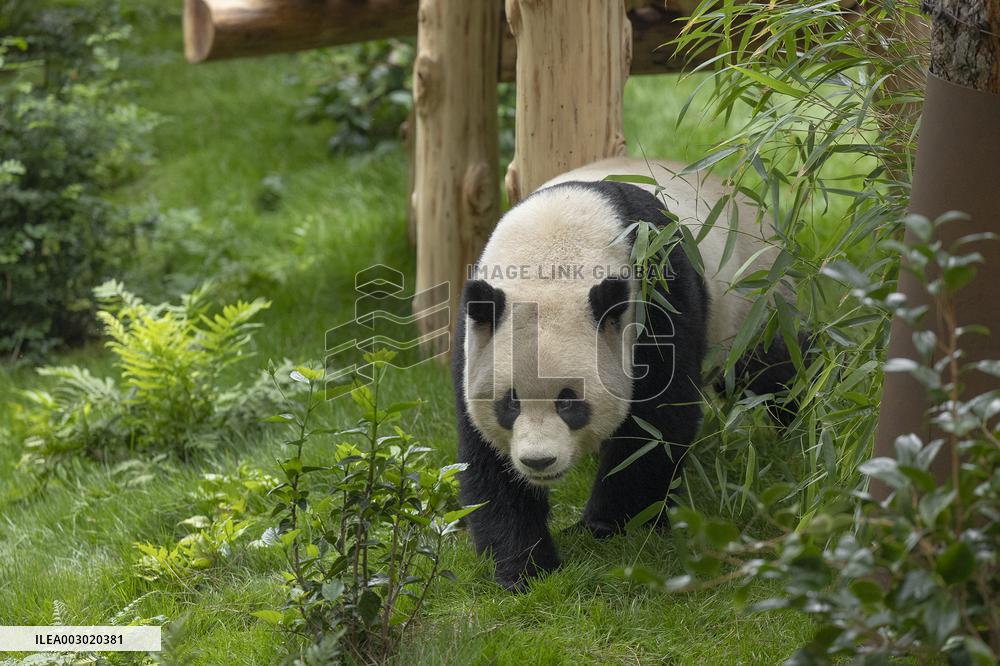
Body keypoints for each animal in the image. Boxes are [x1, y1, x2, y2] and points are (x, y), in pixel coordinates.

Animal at [452, 157, 791, 590]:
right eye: (510, 404)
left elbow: (657, 422)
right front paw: (524, 568)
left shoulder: (656, 291)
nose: (539, 461)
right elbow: (487, 459)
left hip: (753, 300)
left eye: (569, 403)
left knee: (774, 370)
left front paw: (609, 526)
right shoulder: (476, 338)